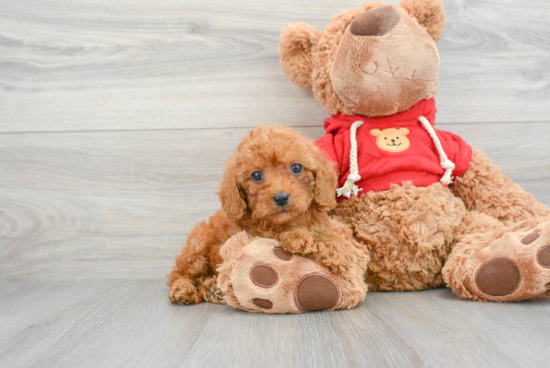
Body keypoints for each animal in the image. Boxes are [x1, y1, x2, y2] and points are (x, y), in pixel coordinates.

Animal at [166, 125, 368, 312]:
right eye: (256, 175)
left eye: (296, 167)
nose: (281, 197)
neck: (290, 221)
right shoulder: (257, 233)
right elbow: (302, 239)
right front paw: (310, 243)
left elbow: (334, 239)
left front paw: (340, 250)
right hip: (198, 243)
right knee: (179, 273)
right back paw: (184, 290)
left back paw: (212, 289)